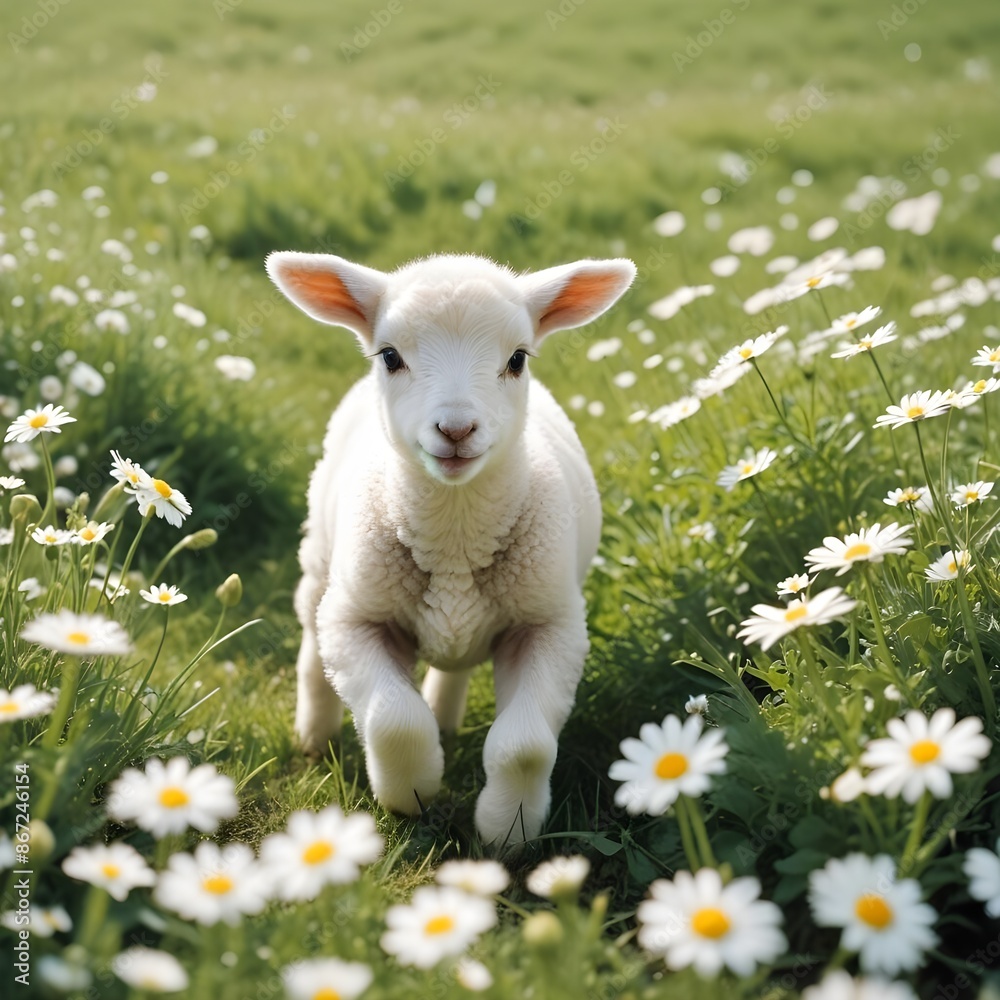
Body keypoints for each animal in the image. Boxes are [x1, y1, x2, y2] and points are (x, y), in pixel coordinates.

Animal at [265, 250, 636, 845]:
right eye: (390, 356)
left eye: (517, 358)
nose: (456, 429)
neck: (456, 537)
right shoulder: (357, 621)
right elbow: (394, 721)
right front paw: (412, 792)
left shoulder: (550, 627)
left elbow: (526, 747)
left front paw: (507, 828)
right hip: (321, 561)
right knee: (311, 641)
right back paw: (314, 734)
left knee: (454, 666)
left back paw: (444, 713)